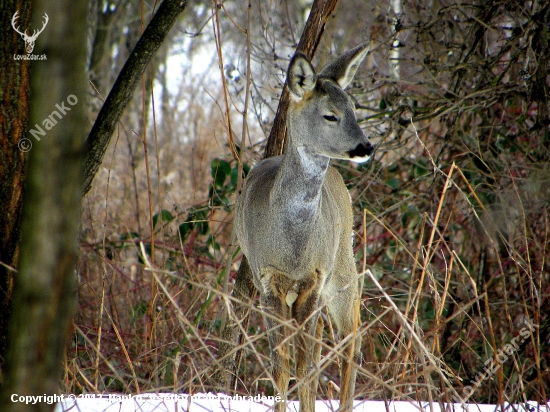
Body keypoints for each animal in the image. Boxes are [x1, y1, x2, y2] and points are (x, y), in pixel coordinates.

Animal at [235, 43, 374, 410]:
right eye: (330, 115)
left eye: (354, 110)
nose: (366, 147)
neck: (293, 247)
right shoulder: (267, 280)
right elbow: (281, 365)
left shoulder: (314, 277)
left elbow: (306, 366)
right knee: (331, 335)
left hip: (341, 267)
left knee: (351, 336)